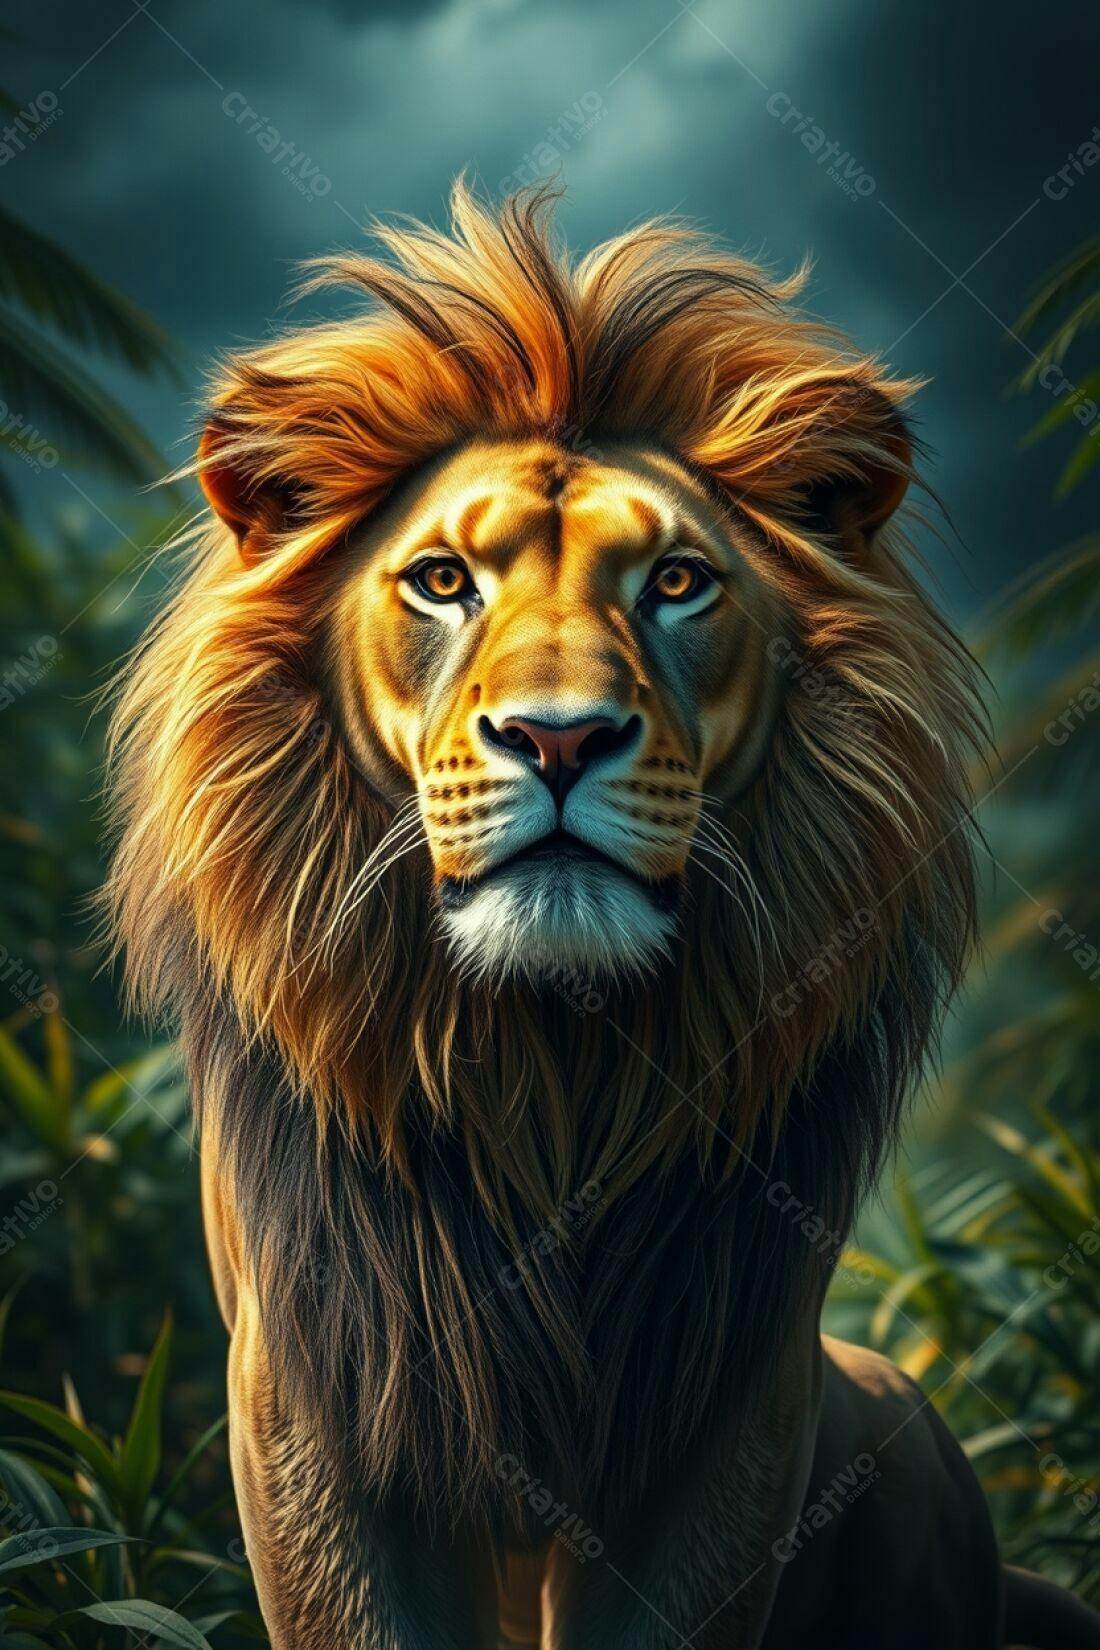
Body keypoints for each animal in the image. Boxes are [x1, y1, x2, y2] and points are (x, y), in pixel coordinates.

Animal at [105, 182, 1100, 1649]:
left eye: (676, 583)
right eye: (443, 580)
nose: (560, 738)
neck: (549, 1066)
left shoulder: (727, 1414)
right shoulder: (311, 1404)